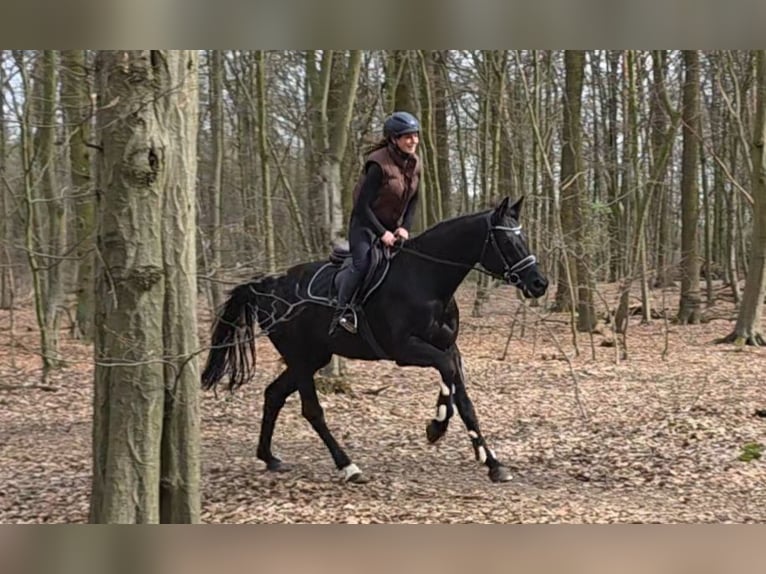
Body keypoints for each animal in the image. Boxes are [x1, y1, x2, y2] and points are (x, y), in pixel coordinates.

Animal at [200, 196, 548, 483]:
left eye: (522, 236)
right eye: (507, 239)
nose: (539, 283)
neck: (427, 279)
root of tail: (266, 286)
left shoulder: (450, 347)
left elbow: (464, 401)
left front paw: (492, 463)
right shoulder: (406, 350)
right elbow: (446, 373)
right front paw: (436, 427)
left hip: (314, 357)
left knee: (273, 395)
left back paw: (269, 457)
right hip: (301, 358)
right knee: (311, 410)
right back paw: (348, 466)